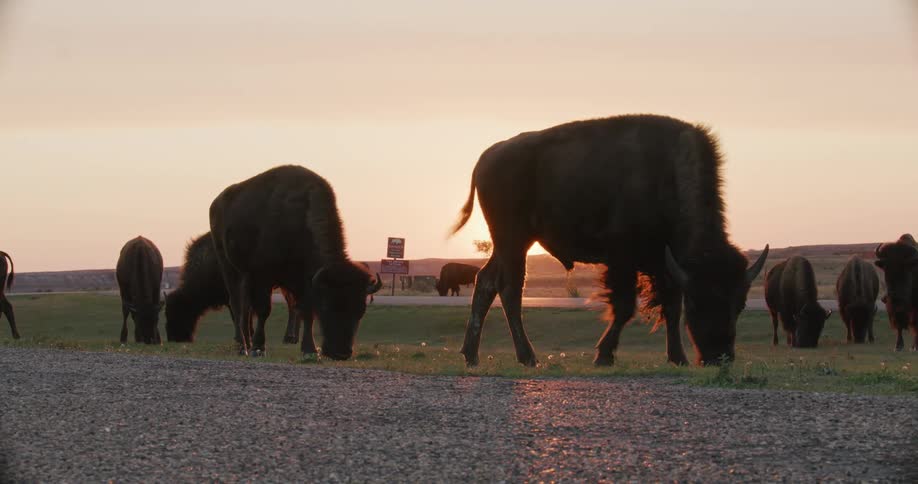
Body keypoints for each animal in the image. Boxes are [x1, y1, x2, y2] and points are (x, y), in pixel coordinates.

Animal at [164, 232, 303, 344]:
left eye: (178, 311)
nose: (172, 338)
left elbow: (239, 315)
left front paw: (242, 337)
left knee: (294, 308)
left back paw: (290, 338)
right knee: (294, 307)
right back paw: (292, 339)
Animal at [209, 165, 383, 358]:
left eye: (361, 310)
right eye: (328, 305)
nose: (341, 353)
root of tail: (216, 204)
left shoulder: (303, 283)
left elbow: (306, 312)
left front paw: (310, 349)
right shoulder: (263, 276)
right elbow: (264, 311)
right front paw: (259, 348)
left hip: (245, 277)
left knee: (245, 308)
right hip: (229, 267)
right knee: (237, 304)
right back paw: (243, 347)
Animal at [449, 114, 769, 367]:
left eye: (739, 304)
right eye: (698, 301)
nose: (720, 357)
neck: (667, 174)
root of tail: (487, 157)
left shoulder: (664, 265)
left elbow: (670, 306)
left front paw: (678, 358)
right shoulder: (623, 258)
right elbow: (625, 306)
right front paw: (603, 356)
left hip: (511, 243)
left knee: (486, 282)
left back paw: (471, 355)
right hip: (513, 240)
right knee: (510, 289)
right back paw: (528, 357)